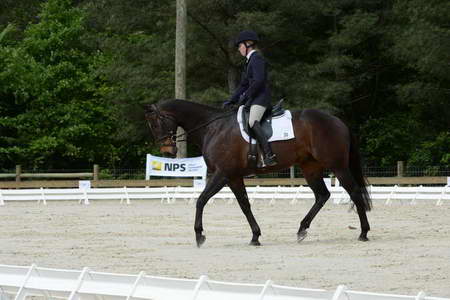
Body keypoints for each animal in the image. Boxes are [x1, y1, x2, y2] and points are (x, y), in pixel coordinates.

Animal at [145, 99, 372, 247]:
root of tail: (337, 121)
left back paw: (363, 232)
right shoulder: (233, 177)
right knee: (322, 195)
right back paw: (301, 230)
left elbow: (201, 200)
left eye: (156, 123)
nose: (168, 152)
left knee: (354, 192)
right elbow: (244, 205)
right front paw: (255, 236)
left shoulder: (222, 174)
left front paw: (199, 235)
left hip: (337, 166)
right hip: (310, 167)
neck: (214, 128)